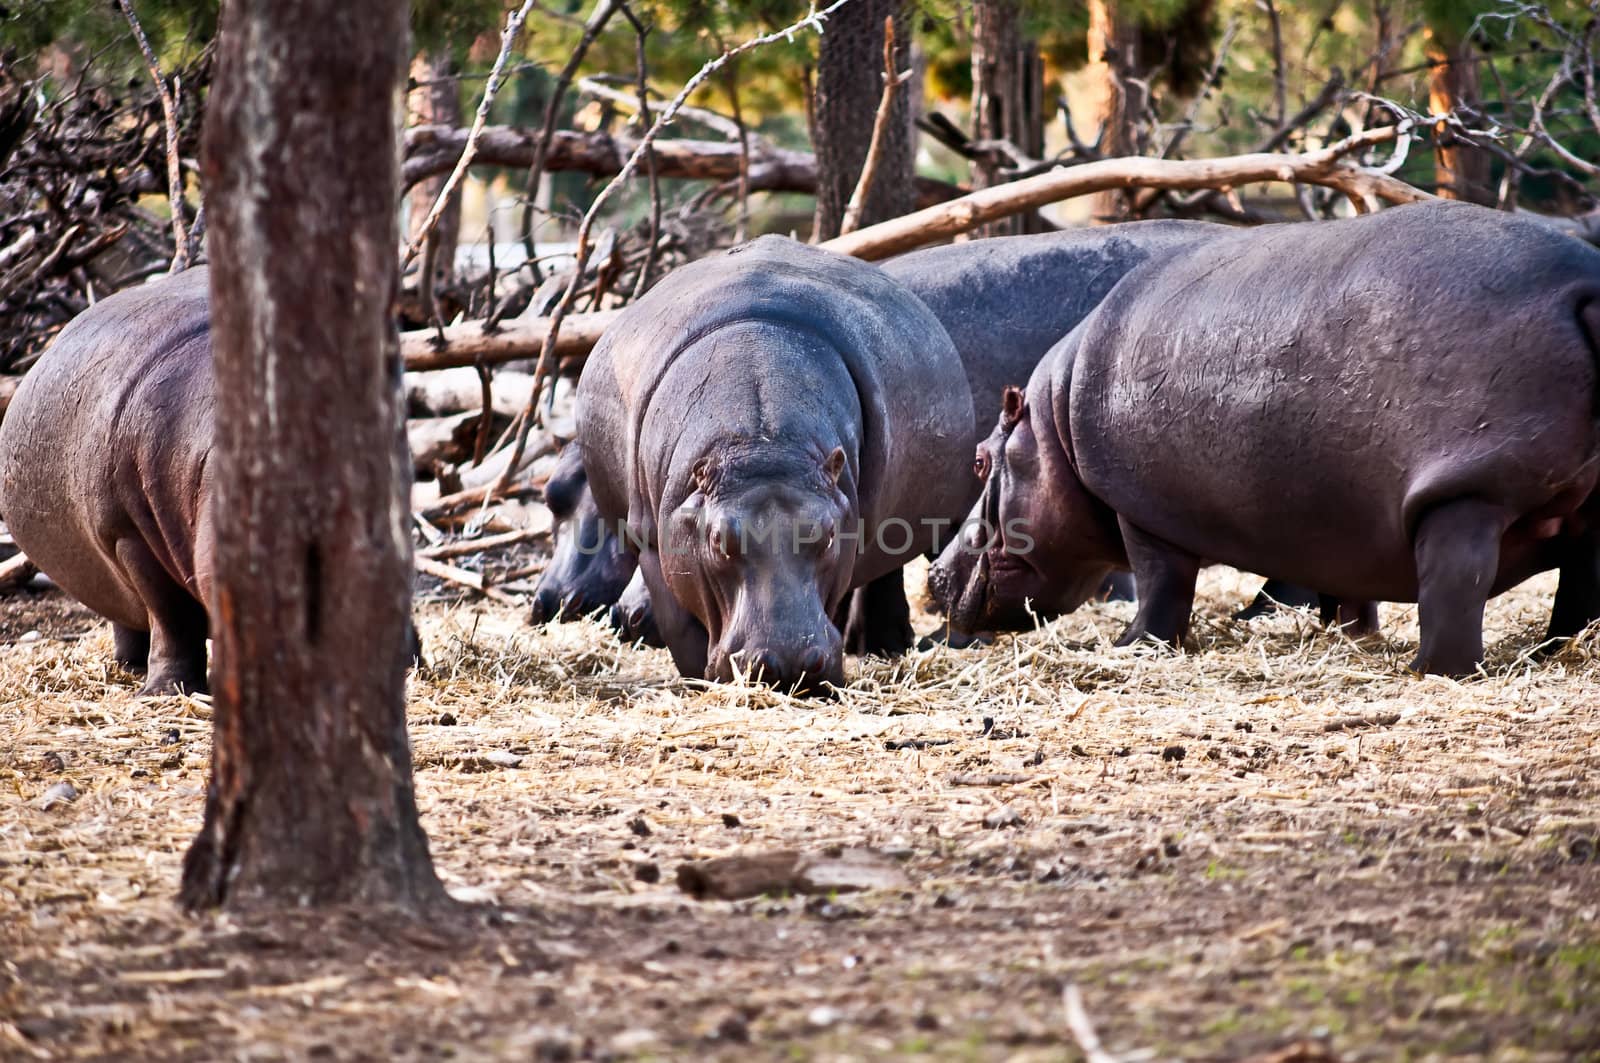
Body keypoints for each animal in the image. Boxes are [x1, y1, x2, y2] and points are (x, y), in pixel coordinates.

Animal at [934, 201, 1600, 672]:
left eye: (979, 461)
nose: (935, 576)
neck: (1051, 433)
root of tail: (1584, 286)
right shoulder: (1345, 526)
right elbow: (1350, 590)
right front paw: (1349, 635)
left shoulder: (1140, 511)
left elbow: (1160, 586)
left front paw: (1129, 646)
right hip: (1581, 508)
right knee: (1578, 587)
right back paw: (1551, 653)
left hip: (1467, 499)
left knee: (1458, 588)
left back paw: (1431, 670)